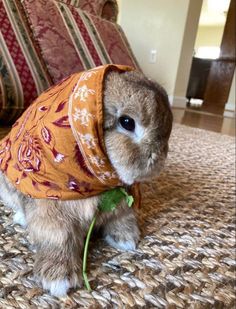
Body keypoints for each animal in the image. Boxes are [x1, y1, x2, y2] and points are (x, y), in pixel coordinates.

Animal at [0, 63, 173, 294]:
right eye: (127, 122)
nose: (158, 160)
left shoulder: (121, 208)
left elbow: (122, 219)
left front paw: (126, 240)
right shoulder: (51, 213)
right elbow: (58, 238)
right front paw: (59, 280)